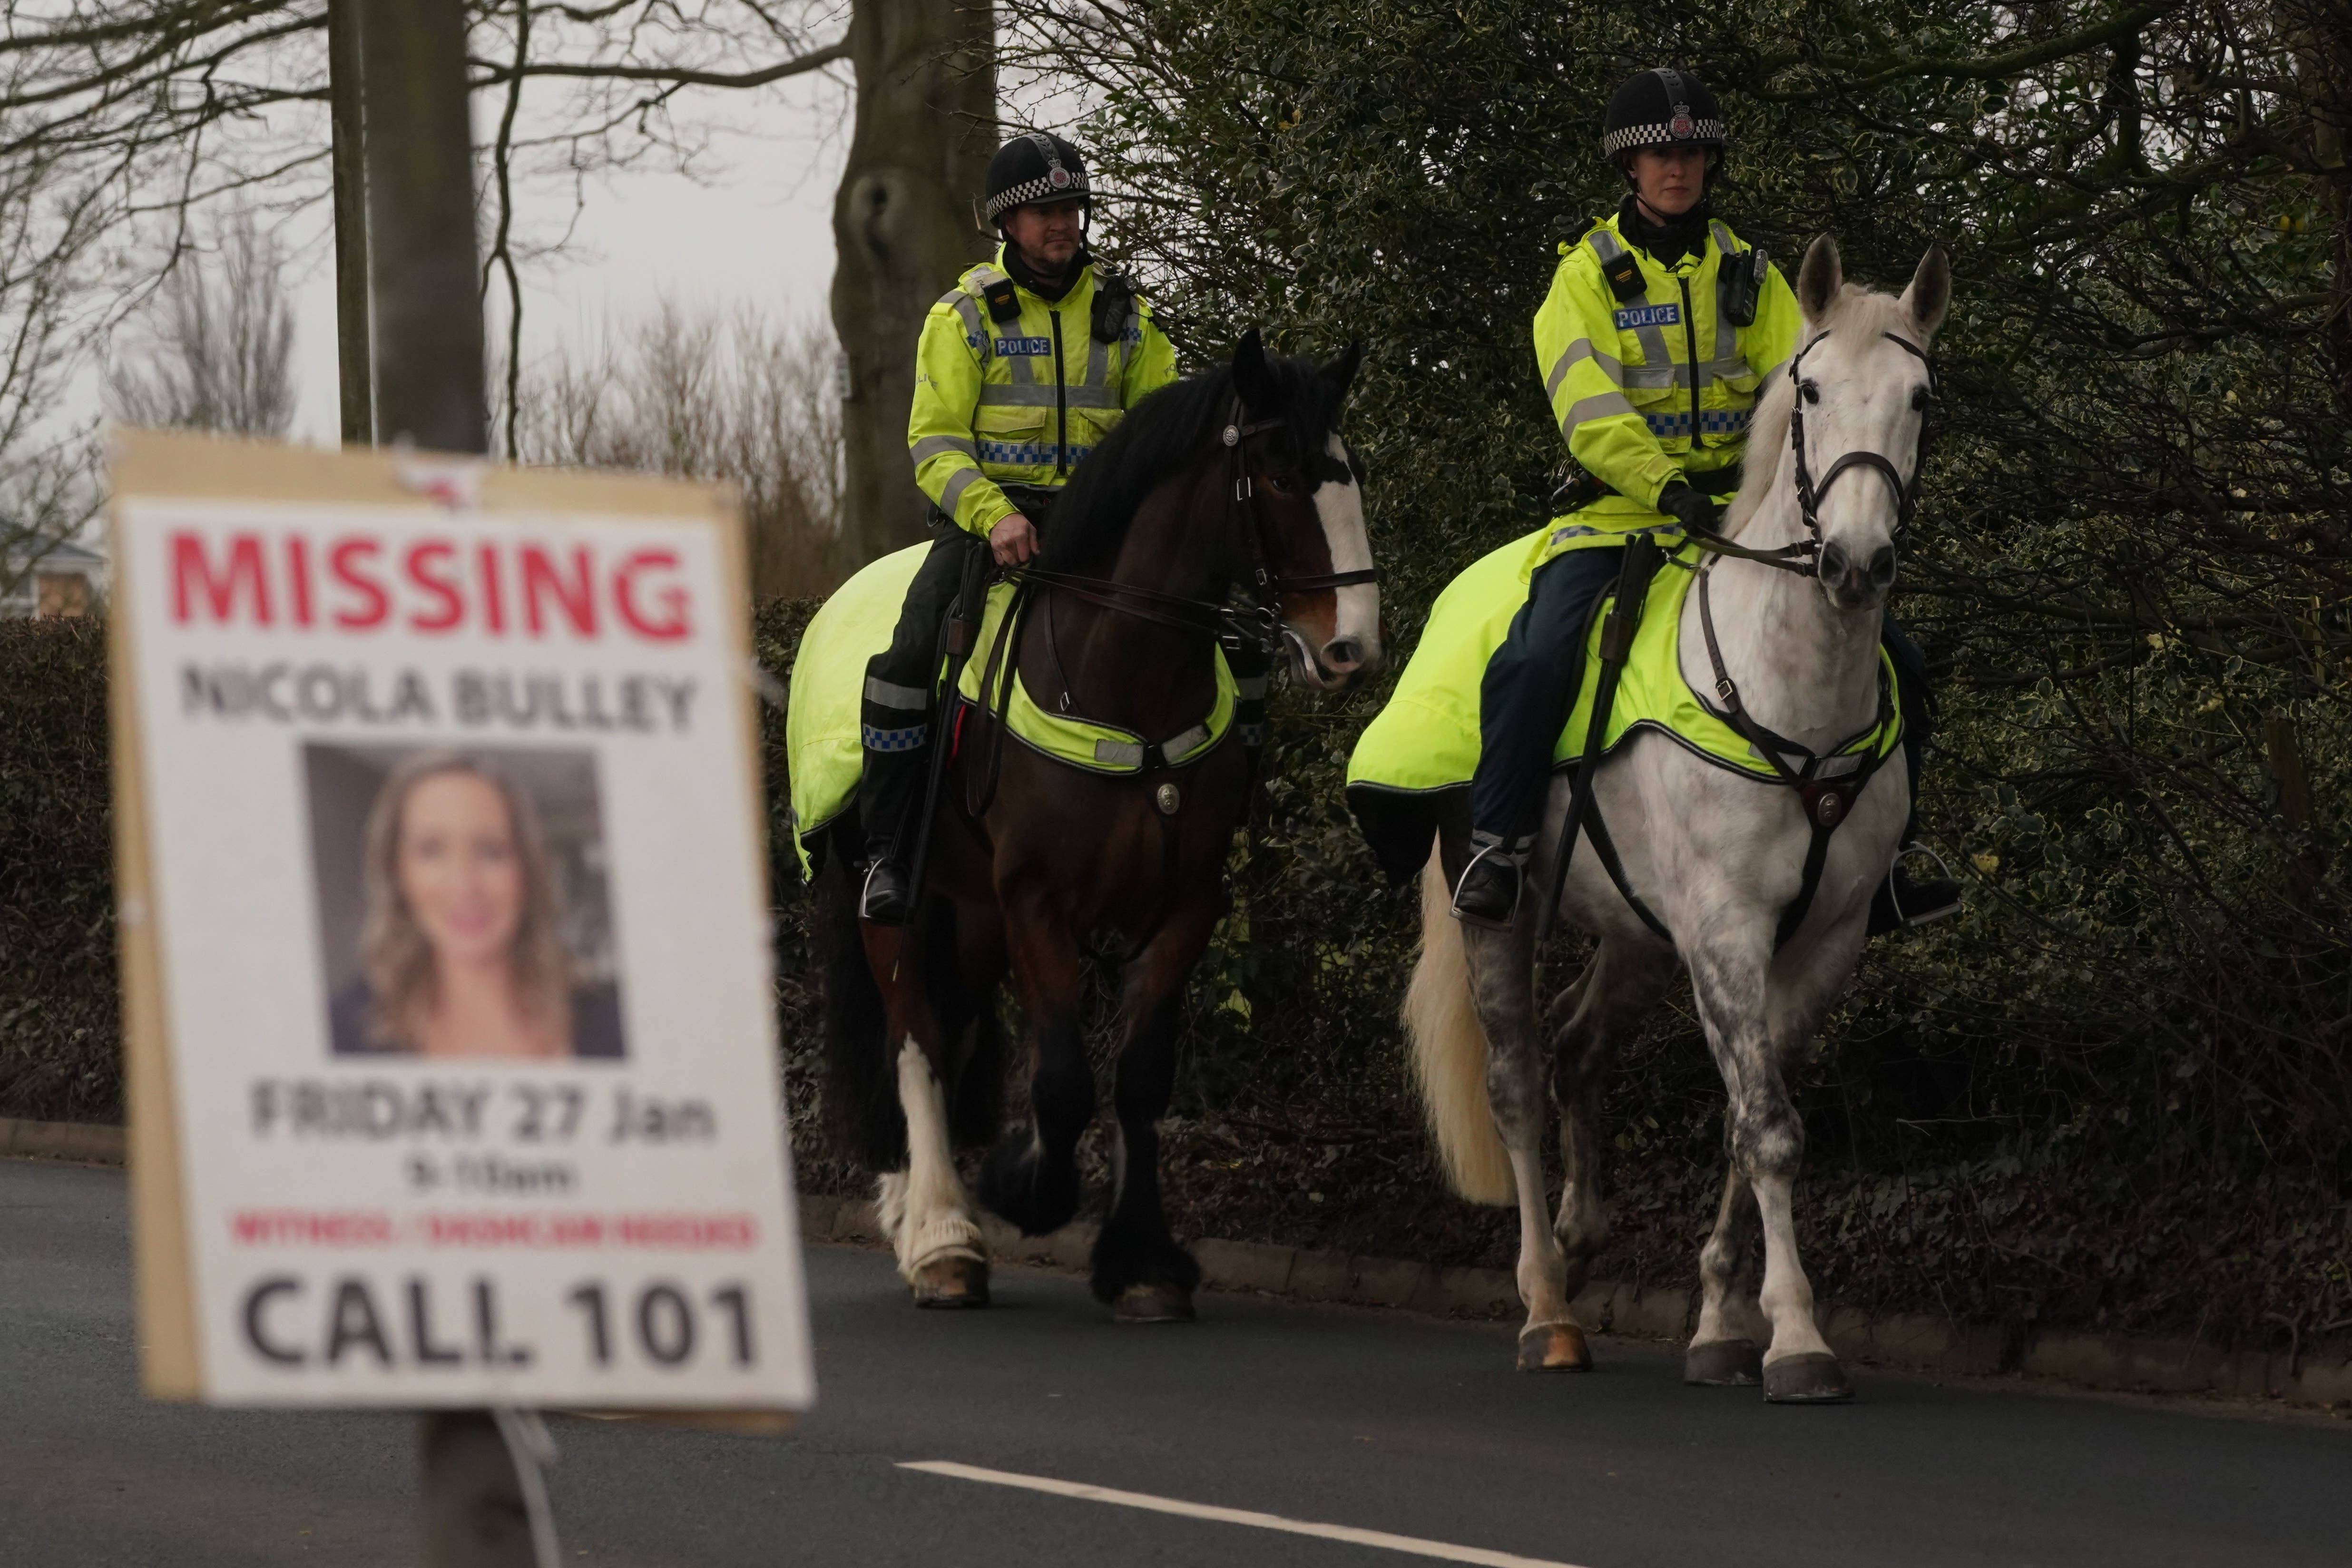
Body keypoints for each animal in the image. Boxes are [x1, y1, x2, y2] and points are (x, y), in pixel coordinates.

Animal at [818, 338, 1373, 1316]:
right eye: (1277, 476)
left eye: (1349, 475)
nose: (1353, 648)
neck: (1123, 677)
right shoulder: (1038, 901)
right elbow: (1065, 1081)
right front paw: (1023, 1186)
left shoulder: (1183, 905)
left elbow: (1138, 1080)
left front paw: (1142, 1261)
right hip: (897, 902)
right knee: (915, 1043)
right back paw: (942, 1239)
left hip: (971, 915)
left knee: (953, 1035)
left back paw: (927, 1219)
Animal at [1401, 240, 1938, 1401]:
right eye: (1811, 392)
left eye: (1920, 397)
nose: (1856, 562)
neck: (1793, 691)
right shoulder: (1727, 934)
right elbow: (1768, 1129)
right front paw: (1797, 1337)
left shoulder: (1817, 943)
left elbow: (1749, 1121)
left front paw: (1723, 1324)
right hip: (1502, 915)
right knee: (1516, 1082)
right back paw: (1546, 1308)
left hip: (1643, 938)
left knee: (1576, 1049)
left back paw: (1581, 1239)